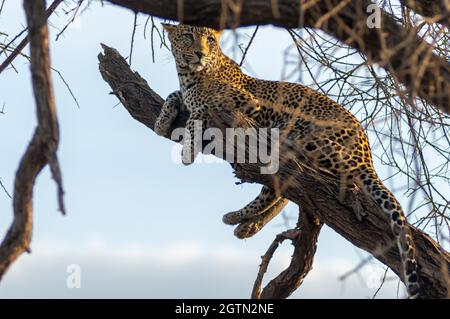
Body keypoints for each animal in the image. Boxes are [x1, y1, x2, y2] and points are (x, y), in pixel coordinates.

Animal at [155, 23, 422, 300]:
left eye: (209, 39)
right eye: (188, 36)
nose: (200, 53)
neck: (188, 75)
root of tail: (366, 151)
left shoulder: (245, 103)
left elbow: (202, 108)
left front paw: (188, 148)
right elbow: (175, 95)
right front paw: (162, 121)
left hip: (302, 134)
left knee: (299, 182)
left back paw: (241, 220)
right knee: (281, 190)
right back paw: (243, 223)